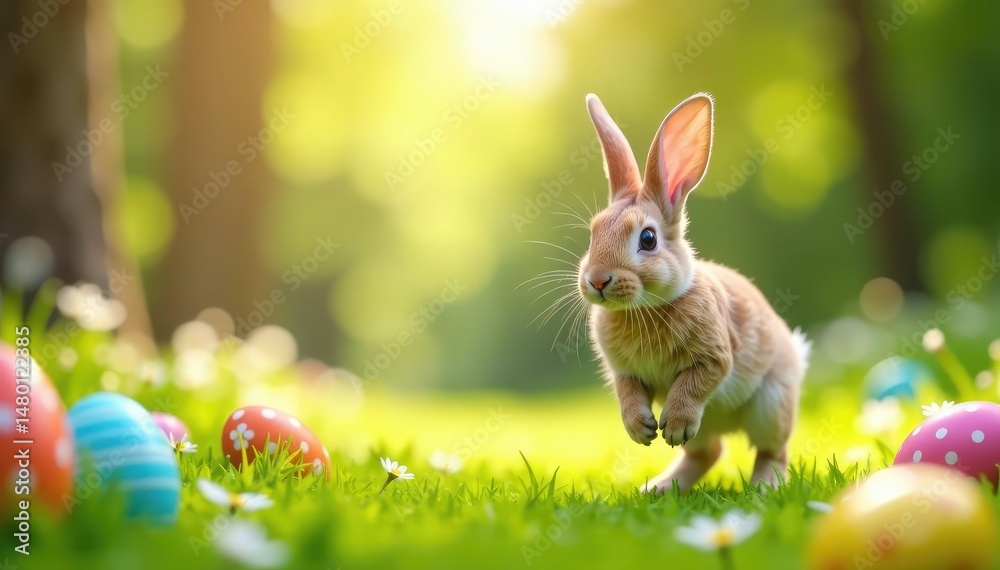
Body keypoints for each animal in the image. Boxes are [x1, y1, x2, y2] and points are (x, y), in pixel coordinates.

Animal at [577, 92, 810, 493]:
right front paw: (640, 430)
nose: (597, 280)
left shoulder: (714, 356)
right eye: (593, 234)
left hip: (771, 404)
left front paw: (673, 426)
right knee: (708, 452)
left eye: (648, 239)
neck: (646, 307)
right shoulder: (625, 373)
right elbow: (627, 394)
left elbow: (693, 384)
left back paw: (763, 486)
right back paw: (659, 489)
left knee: (772, 451)